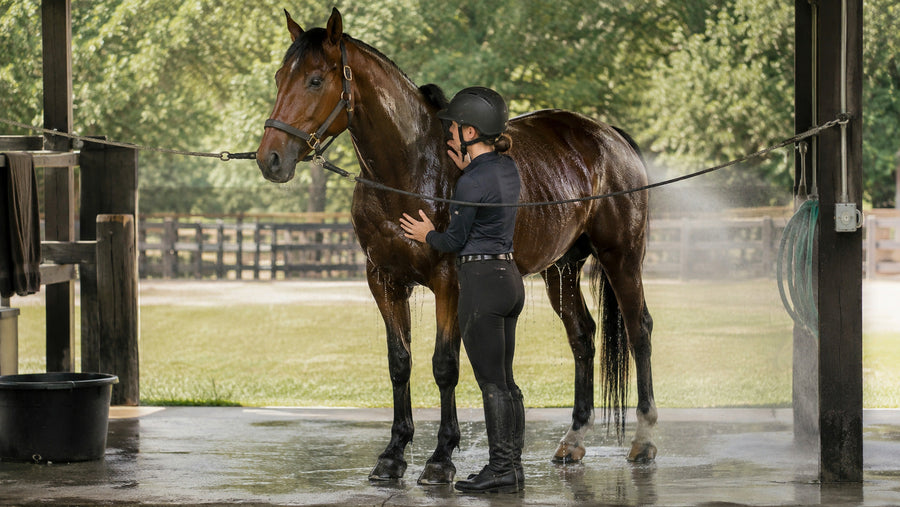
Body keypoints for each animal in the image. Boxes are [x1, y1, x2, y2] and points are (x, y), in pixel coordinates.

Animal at [256, 8, 656, 484]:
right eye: (279, 77)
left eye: (316, 80)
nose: (269, 158)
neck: (411, 170)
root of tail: (608, 136)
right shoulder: (383, 280)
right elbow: (399, 363)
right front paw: (392, 455)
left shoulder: (448, 281)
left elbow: (444, 364)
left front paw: (440, 457)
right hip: (561, 269)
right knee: (582, 335)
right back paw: (572, 441)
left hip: (622, 257)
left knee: (639, 331)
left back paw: (644, 440)